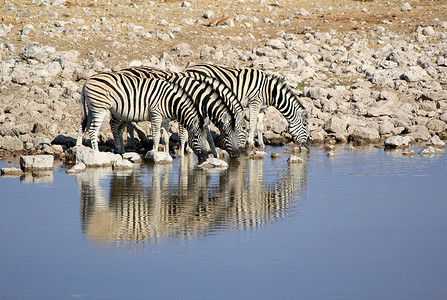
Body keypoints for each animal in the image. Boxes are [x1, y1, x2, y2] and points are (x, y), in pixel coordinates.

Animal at [75, 72, 214, 163]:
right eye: (195, 137)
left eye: (206, 138)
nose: (206, 157)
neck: (170, 102)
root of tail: (87, 81)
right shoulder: (156, 115)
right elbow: (157, 137)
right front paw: (155, 153)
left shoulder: (165, 120)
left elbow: (165, 138)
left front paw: (166, 154)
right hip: (99, 108)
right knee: (93, 130)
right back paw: (97, 154)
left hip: (92, 109)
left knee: (83, 126)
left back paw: (79, 148)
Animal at [113, 66, 245, 158]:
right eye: (227, 134)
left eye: (239, 132)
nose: (238, 155)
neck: (199, 96)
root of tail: (122, 70)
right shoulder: (184, 113)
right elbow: (183, 135)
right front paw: (183, 154)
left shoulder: (199, 117)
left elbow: (208, 134)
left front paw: (214, 153)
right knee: (113, 124)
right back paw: (120, 148)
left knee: (127, 125)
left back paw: (130, 146)